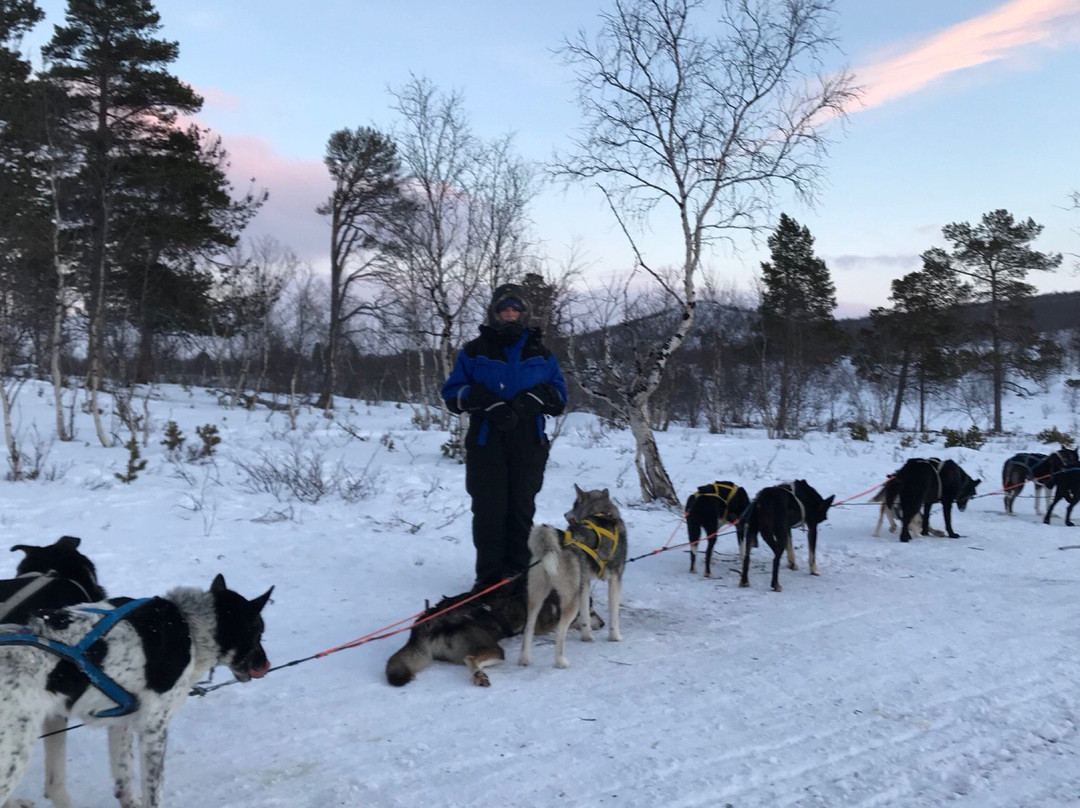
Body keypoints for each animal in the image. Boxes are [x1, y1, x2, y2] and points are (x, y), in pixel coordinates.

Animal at [0, 570, 270, 808]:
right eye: (258, 631)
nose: (265, 664)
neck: (189, 625)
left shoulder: (120, 721)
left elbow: (123, 776)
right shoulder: (154, 728)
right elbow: (153, 791)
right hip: (17, 752)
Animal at [520, 486, 630, 669]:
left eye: (574, 504)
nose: (565, 513)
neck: (602, 512)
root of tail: (557, 541)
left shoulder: (584, 583)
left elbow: (585, 615)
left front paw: (587, 636)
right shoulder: (615, 579)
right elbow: (613, 614)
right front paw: (615, 636)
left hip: (537, 595)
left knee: (529, 627)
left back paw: (524, 659)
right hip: (570, 599)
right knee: (560, 630)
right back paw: (560, 661)